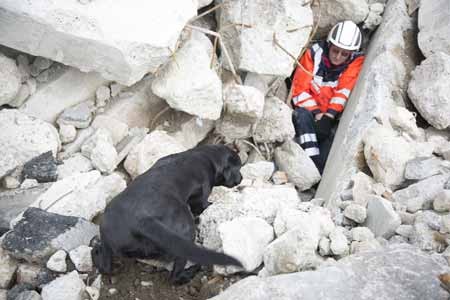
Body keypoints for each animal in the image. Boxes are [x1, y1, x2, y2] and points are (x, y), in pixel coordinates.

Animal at [90, 144, 243, 282]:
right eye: (239, 168)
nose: (241, 178)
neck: (204, 156)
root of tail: (140, 221)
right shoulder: (202, 195)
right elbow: (203, 206)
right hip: (185, 234)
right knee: (175, 277)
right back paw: (191, 271)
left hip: (107, 236)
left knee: (105, 266)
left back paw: (96, 249)